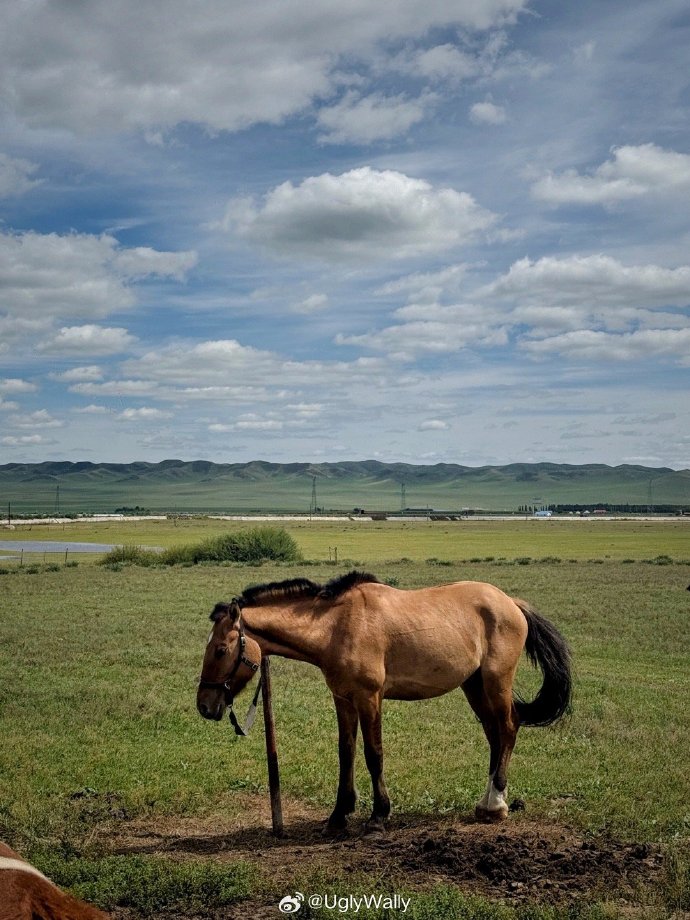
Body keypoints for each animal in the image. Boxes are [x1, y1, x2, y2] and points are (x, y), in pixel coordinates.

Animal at [195, 572, 568, 832]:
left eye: (221, 650)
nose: (204, 705)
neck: (335, 626)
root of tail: (511, 603)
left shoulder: (369, 698)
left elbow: (374, 754)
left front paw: (378, 815)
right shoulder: (343, 699)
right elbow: (345, 753)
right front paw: (339, 815)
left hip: (496, 683)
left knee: (508, 728)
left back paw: (497, 804)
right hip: (474, 686)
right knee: (494, 735)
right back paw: (485, 802)